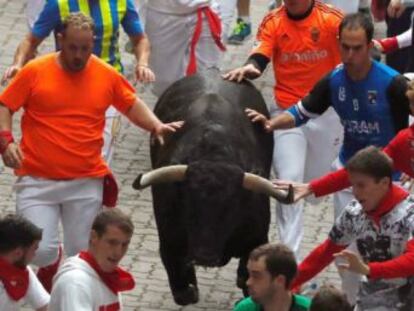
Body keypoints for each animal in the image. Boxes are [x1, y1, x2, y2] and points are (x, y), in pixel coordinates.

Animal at [132, 71, 292, 308]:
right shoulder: (170, 237)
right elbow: (180, 283)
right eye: (189, 205)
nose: (204, 256)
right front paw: (188, 290)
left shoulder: (257, 237)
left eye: (231, 209)